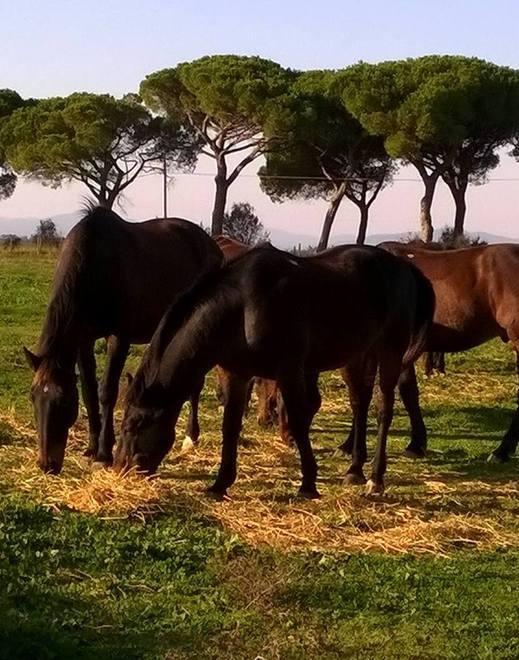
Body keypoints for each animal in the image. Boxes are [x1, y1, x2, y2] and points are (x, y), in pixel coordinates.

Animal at [24, 205, 223, 474]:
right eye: (33, 397)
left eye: (64, 402)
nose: (47, 465)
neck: (97, 265)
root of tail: (212, 245)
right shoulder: (83, 340)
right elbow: (89, 390)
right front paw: (91, 447)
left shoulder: (119, 338)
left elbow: (107, 391)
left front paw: (103, 453)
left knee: (196, 384)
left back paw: (191, 437)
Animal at [115, 244, 434, 497]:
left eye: (133, 425)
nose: (121, 467)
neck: (242, 307)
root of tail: (404, 266)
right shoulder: (236, 374)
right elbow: (230, 426)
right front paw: (220, 484)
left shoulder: (289, 372)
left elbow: (298, 421)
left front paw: (308, 484)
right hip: (357, 356)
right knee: (360, 403)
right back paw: (355, 469)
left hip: (389, 351)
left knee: (384, 409)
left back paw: (376, 479)